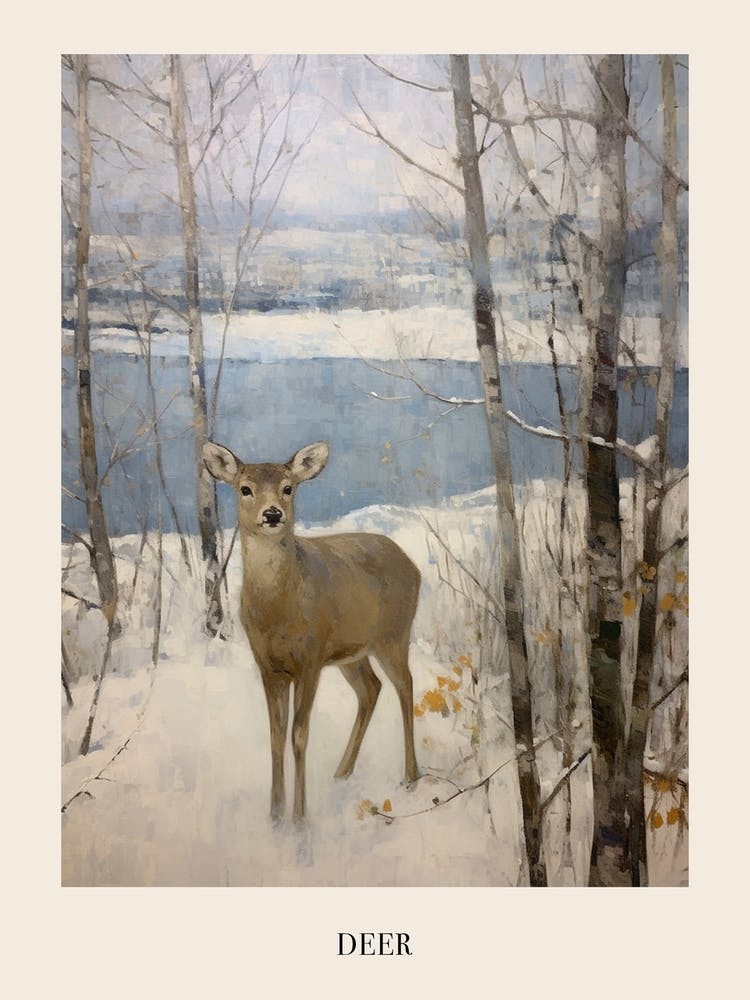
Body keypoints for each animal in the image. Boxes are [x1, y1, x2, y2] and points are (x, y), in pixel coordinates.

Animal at [203, 439, 421, 824]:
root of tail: (415, 568)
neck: (278, 611)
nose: (273, 514)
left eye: (288, 487)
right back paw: (342, 773)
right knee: (371, 689)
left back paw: (410, 777)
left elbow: (299, 734)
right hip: (352, 651)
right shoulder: (269, 666)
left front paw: (299, 819)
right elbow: (275, 736)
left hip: (393, 634)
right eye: (245, 489)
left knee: (405, 686)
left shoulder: (310, 658)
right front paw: (274, 815)